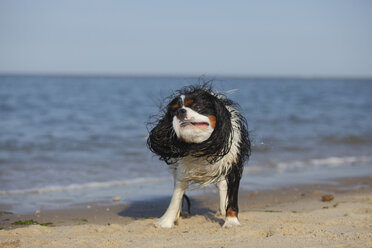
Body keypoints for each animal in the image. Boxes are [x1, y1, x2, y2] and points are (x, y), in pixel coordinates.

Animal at [147, 84, 251, 228]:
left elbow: (232, 198)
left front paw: (231, 221)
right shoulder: (182, 169)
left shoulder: (233, 165)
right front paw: (166, 221)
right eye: (174, 111)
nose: (180, 111)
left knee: (222, 185)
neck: (200, 146)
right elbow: (176, 195)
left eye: (197, 106)